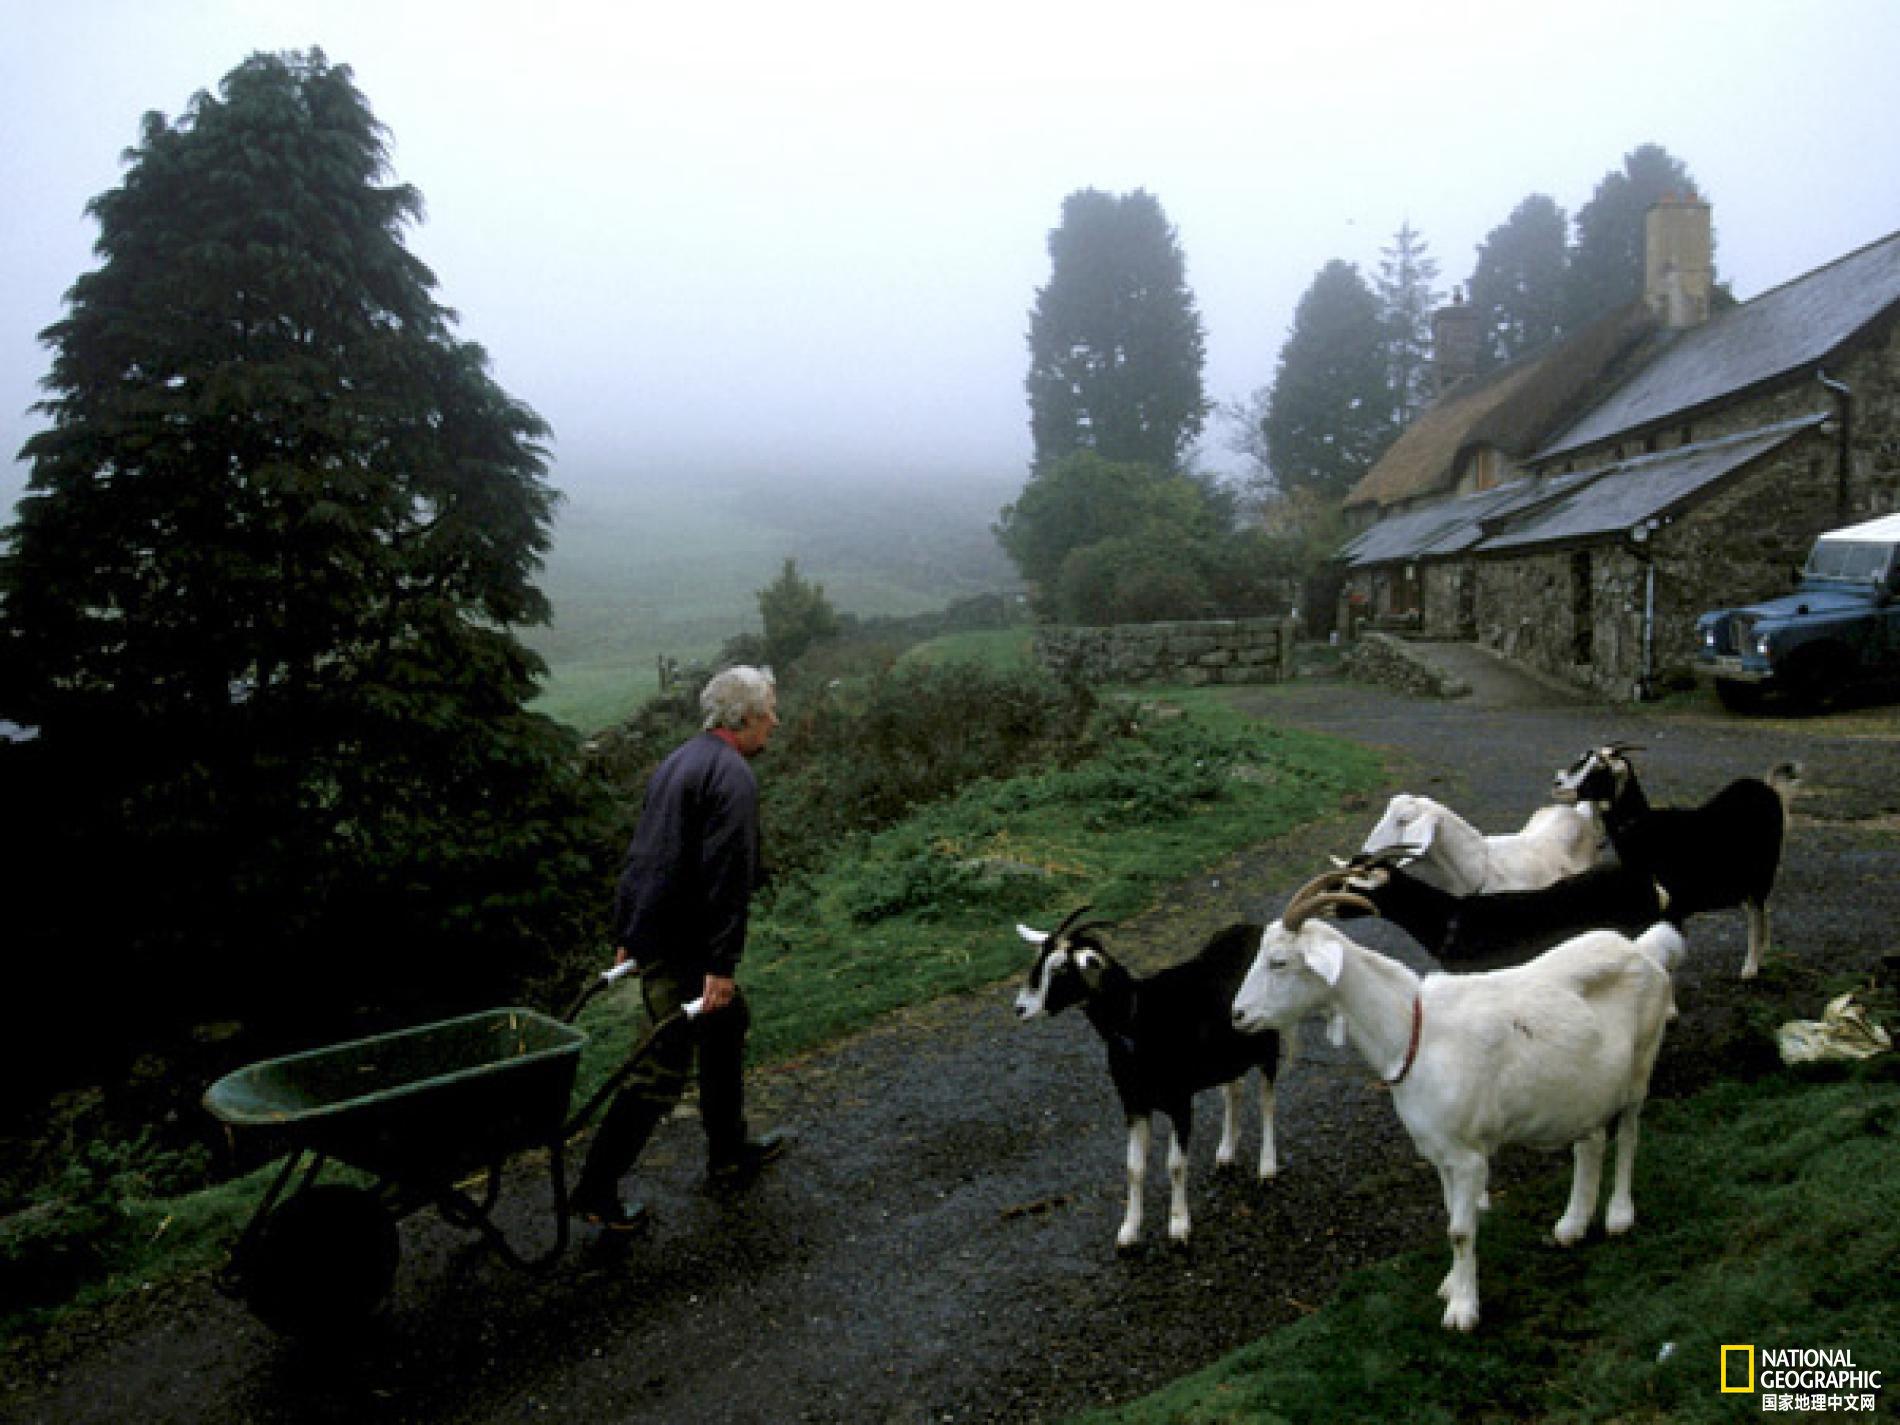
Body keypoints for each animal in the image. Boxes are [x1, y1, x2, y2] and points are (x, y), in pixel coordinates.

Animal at [1018, 915, 1284, 1246]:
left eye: (1059, 968)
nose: (1020, 1008)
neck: (1139, 1018)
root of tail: (1256, 929)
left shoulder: (1180, 1101)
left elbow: (1176, 1164)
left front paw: (1179, 1226)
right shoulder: (1134, 1103)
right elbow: (1134, 1167)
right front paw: (1129, 1231)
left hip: (1269, 1043)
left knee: (1267, 1102)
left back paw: (1267, 1168)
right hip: (1229, 1055)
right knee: (1233, 1090)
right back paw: (1226, 1153)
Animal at [1550, 748, 1801, 980]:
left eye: (1596, 769)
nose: (1557, 782)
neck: (1643, 828)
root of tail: (1768, 788)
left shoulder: (1671, 904)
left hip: (1763, 872)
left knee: (1757, 915)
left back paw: (1750, 969)